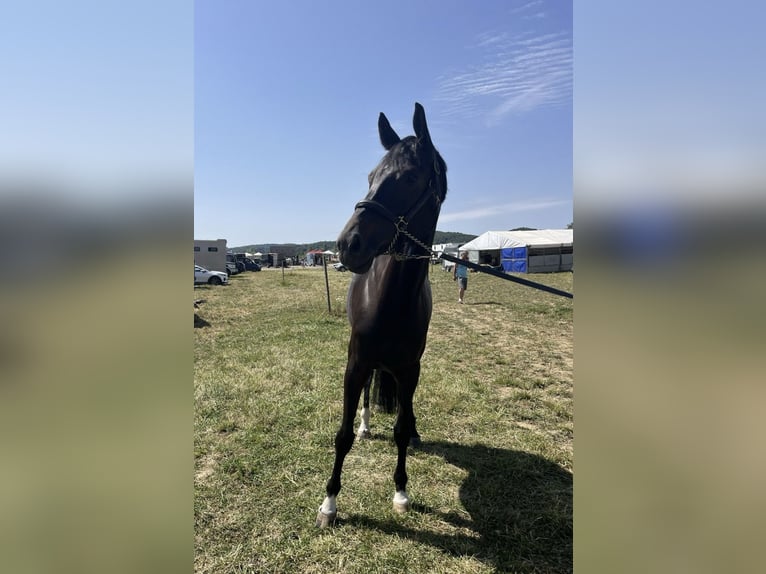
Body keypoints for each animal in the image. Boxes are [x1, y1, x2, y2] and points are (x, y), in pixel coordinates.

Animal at [316, 102, 447, 527]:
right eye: (372, 177)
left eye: (409, 178)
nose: (348, 243)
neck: (392, 299)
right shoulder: (356, 361)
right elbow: (341, 435)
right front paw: (329, 503)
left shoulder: (409, 368)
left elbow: (402, 430)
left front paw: (402, 491)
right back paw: (366, 425)